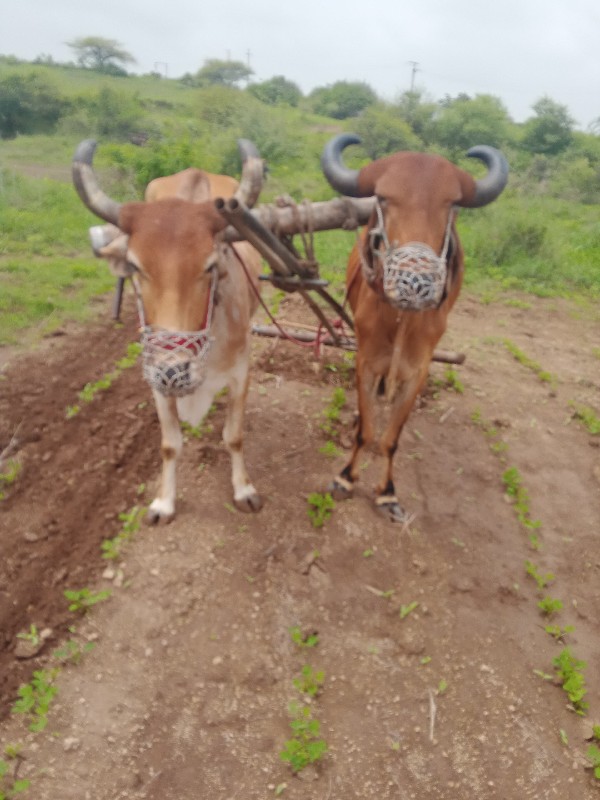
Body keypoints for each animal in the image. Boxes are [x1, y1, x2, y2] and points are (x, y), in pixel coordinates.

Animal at [72, 139, 265, 523]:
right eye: (134, 266)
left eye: (210, 265)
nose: (174, 372)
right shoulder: (155, 377)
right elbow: (169, 444)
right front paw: (164, 501)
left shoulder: (241, 371)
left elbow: (234, 435)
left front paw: (243, 489)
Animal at [320, 133, 508, 522]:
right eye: (383, 199)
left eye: (452, 206)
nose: (415, 282)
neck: (401, 318)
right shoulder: (365, 360)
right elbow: (366, 431)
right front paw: (346, 478)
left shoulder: (418, 370)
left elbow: (391, 438)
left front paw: (386, 493)